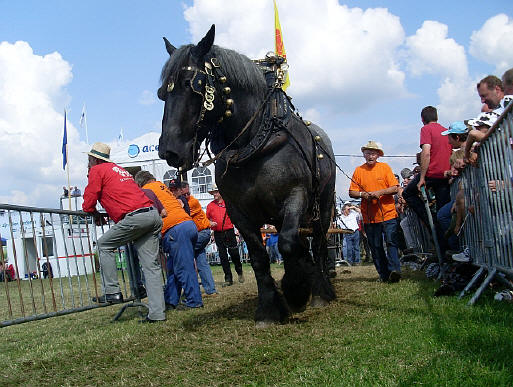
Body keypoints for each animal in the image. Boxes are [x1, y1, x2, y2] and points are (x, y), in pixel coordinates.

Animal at [158, 25, 338, 328]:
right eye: (162, 92)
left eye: (191, 84)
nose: (169, 150)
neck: (255, 144)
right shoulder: (238, 212)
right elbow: (258, 256)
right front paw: (269, 308)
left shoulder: (296, 196)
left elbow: (287, 242)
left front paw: (296, 291)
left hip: (322, 206)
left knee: (321, 244)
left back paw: (322, 290)